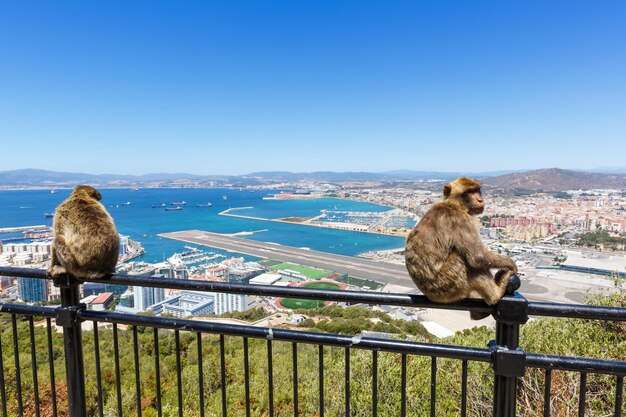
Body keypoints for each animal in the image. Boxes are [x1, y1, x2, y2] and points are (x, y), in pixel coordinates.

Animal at [402, 176, 520, 318]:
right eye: (469, 192)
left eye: (477, 190)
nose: (480, 199)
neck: (454, 204)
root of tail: (430, 296)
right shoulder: (462, 220)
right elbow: (477, 257)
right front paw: (511, 264)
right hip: (448, 285)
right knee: (466, 262)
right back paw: (495, 295)